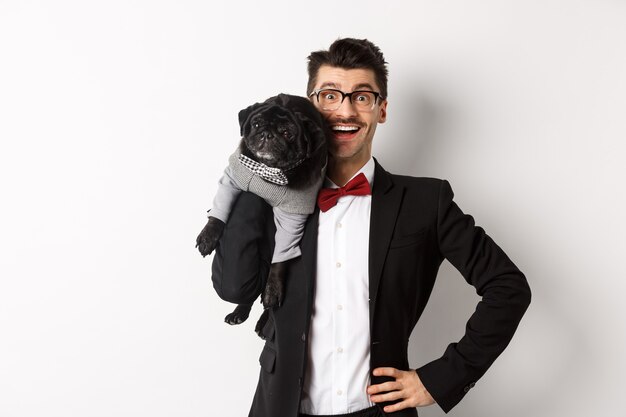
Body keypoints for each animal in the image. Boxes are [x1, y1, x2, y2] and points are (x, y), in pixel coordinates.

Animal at [197, 92, 330, 336]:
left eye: (287, 133)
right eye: (257, 124)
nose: (267, 134)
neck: (270, 172)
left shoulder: (293, 217)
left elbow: (279, 264)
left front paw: (273, 290)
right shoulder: (233, 176)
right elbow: (219, 210)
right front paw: (208, 236)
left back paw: (261, 321)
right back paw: (239, 312)